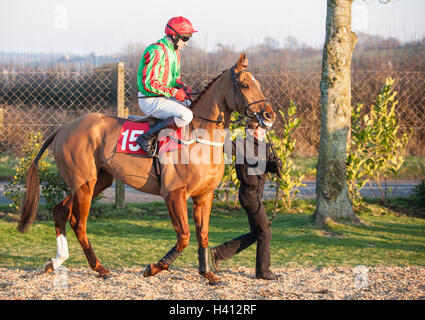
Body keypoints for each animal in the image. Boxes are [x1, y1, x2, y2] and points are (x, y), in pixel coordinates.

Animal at [17, 53, 274, 284]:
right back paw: (100, 268)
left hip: (97, 181)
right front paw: (154, 267)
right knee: (78, 223)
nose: (269, 115)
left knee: (60, 210)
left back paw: (56, 261)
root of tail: (64, 128)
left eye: (259, 84)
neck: (199, 137)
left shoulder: (204, 195)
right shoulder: (174, 194)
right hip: (84, 183)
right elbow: (184, 236)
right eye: (244, 84)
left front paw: (208, 274)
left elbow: (202, 234)